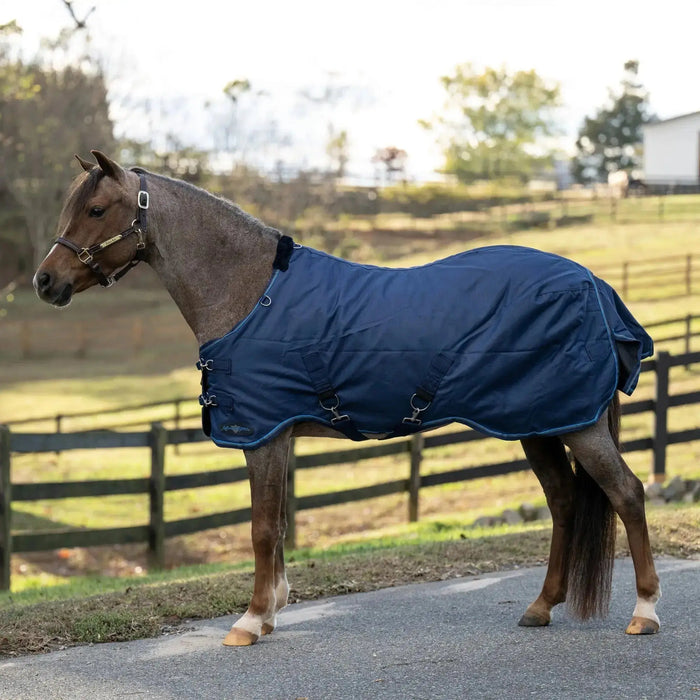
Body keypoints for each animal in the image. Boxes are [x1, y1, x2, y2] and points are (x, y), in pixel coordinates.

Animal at [33, 151, 661, 646]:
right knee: (564, 503)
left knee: (627, 494)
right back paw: (541, 607)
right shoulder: (279, 432)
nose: (45, 281)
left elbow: (261, 529)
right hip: (538, 423)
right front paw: (272, 611)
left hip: (575, 424)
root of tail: (594, 284)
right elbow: (280, 522)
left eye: (96, 210)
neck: (249, 292)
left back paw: (645, 612)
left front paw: (250, 622)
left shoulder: (262, 436)